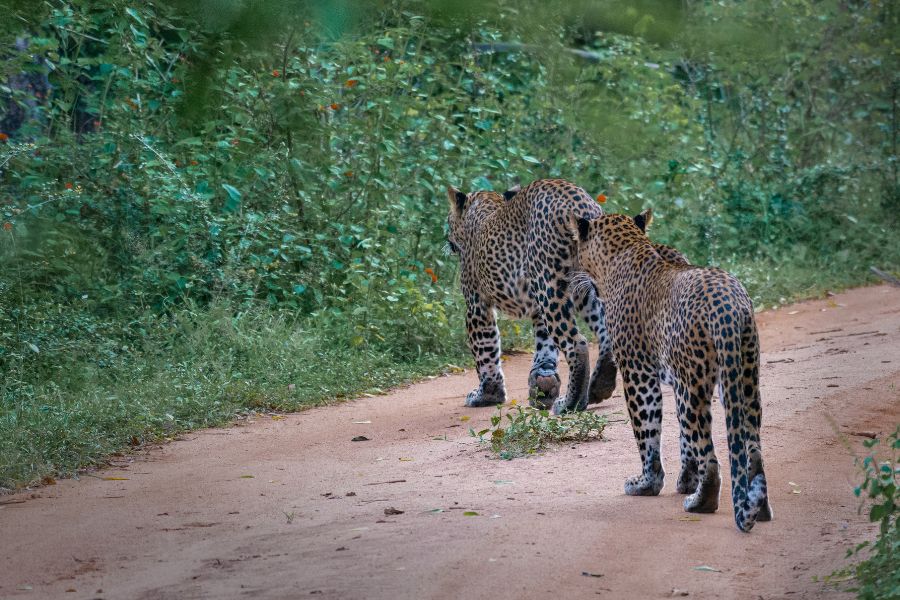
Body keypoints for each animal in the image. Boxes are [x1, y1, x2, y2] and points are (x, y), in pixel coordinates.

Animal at [568, 209, 772, 532]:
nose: (572, 276)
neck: (625, 250)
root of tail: (727, 305)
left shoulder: (638, 372)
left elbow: (648, 433)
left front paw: (647, 484)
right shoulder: (678, 381)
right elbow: (684, 440)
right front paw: (686, 479)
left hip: (696, 388)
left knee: (710, 455)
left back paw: (701, 503)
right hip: (745, 377)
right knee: (752, 450)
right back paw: (758, 508)